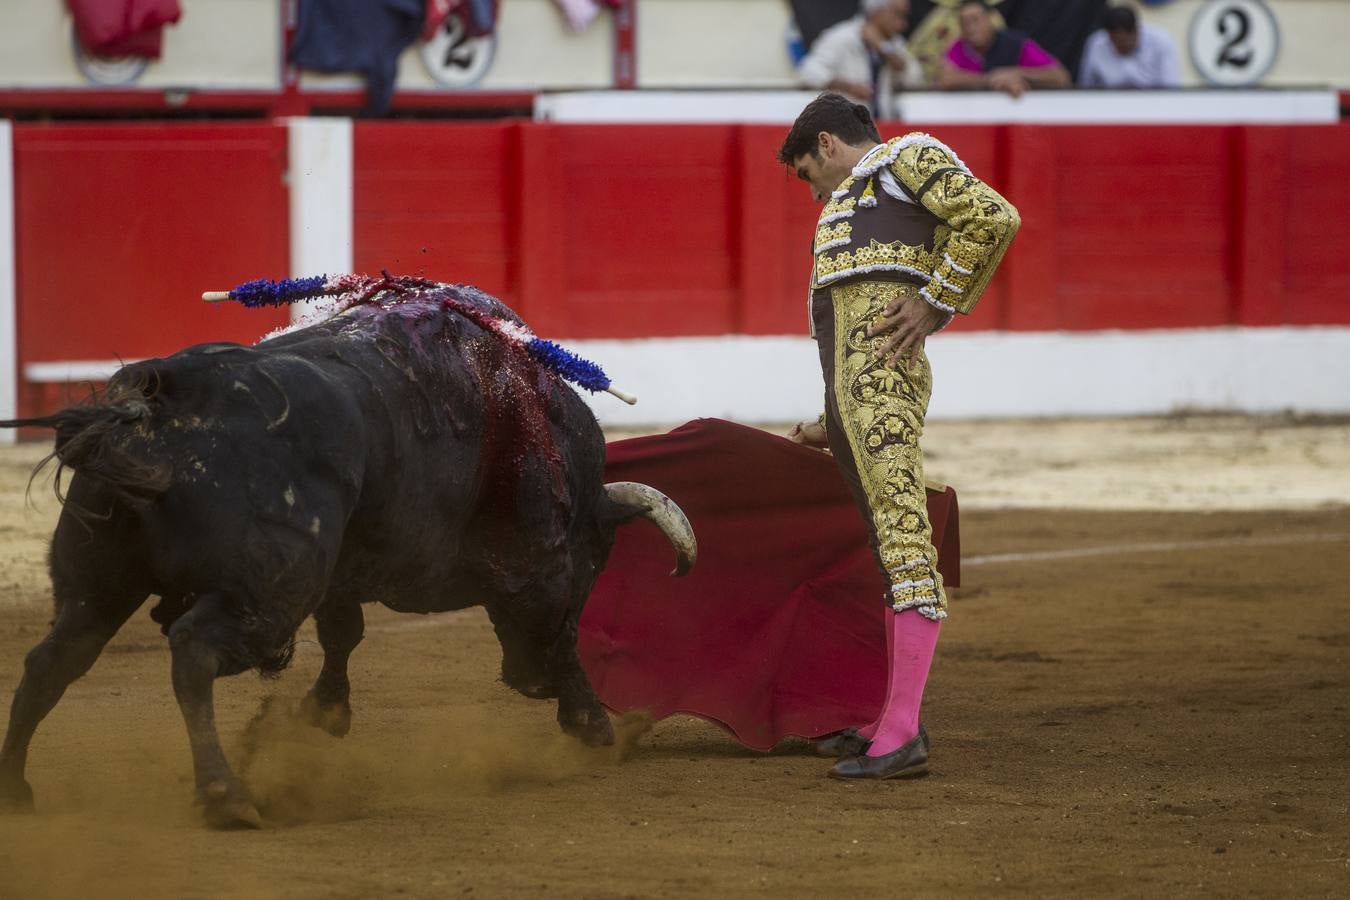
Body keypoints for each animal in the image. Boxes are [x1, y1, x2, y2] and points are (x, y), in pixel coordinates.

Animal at [0, 279, 696, 831]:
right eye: (597, 562)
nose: (527, 682)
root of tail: (159, 401)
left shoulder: (345, 570)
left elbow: (344, 630)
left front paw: (324, 712)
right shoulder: (540, 564)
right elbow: (559, 633)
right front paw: (593, 724)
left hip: (98, 582)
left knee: (53, 661)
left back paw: (17, 789)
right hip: (265, 599)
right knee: (191, 651)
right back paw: (227, 795)